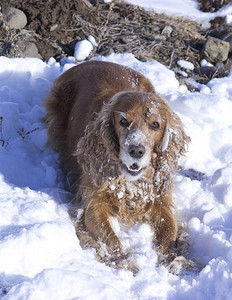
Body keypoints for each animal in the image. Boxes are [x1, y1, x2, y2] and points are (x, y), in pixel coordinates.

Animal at [42, 59, 190, 266]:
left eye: (155, 125)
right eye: (123, 121)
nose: (136, 150)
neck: (130, 184)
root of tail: (96, 61)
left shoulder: (160, 200)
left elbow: (169, 230)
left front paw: (173, 259)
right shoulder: (93, 202)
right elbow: (110, 239)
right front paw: (125, 263)